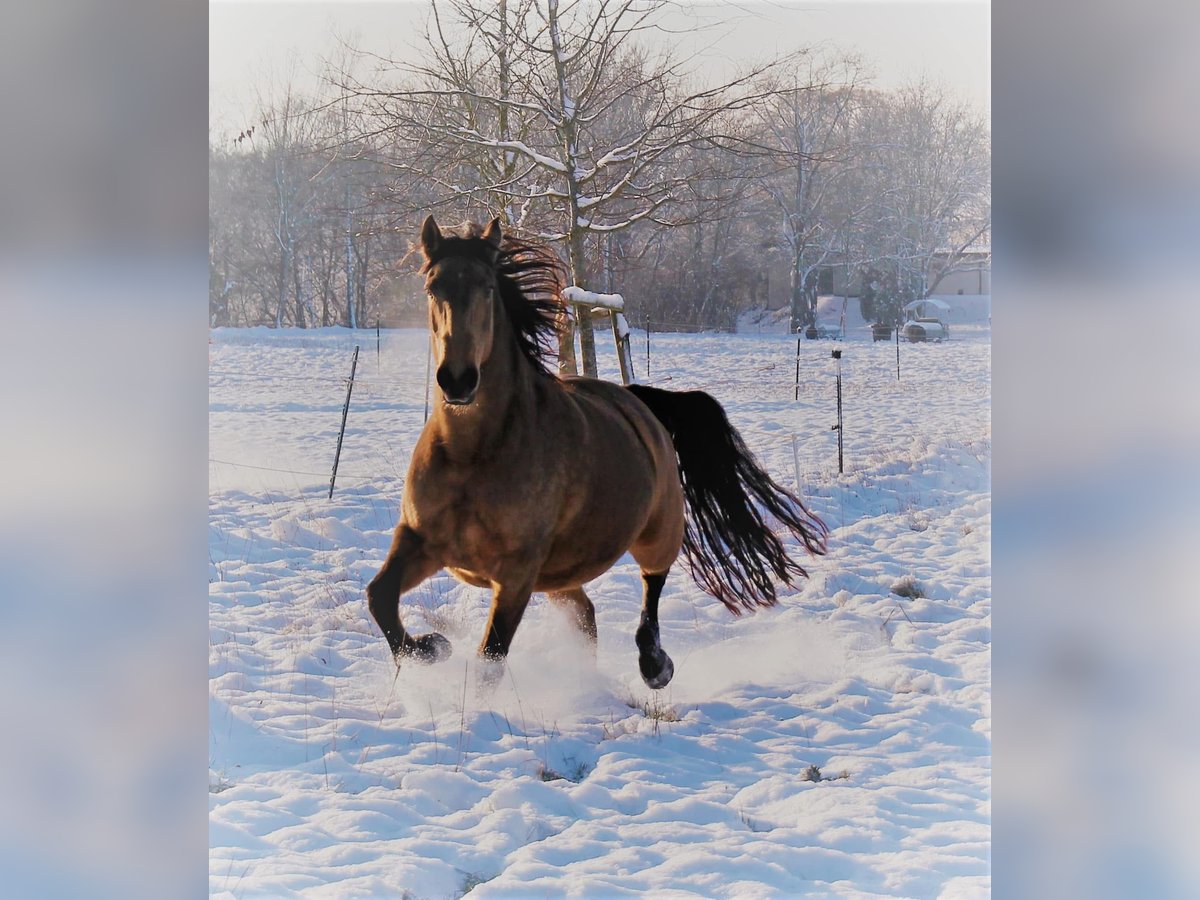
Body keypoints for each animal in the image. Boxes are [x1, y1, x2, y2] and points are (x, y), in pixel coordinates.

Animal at [364, 218, 830, 691]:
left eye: (487, 287)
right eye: (432, 287)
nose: (458, 380)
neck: (471, 457)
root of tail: (638, 400)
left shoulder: (516, 572)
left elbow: (489, 661)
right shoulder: (419, 540)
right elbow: (379, 596)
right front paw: (430, 646)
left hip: (656, 531)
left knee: (651, 588)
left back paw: (655, 666)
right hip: (558, 576)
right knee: (585, 615)